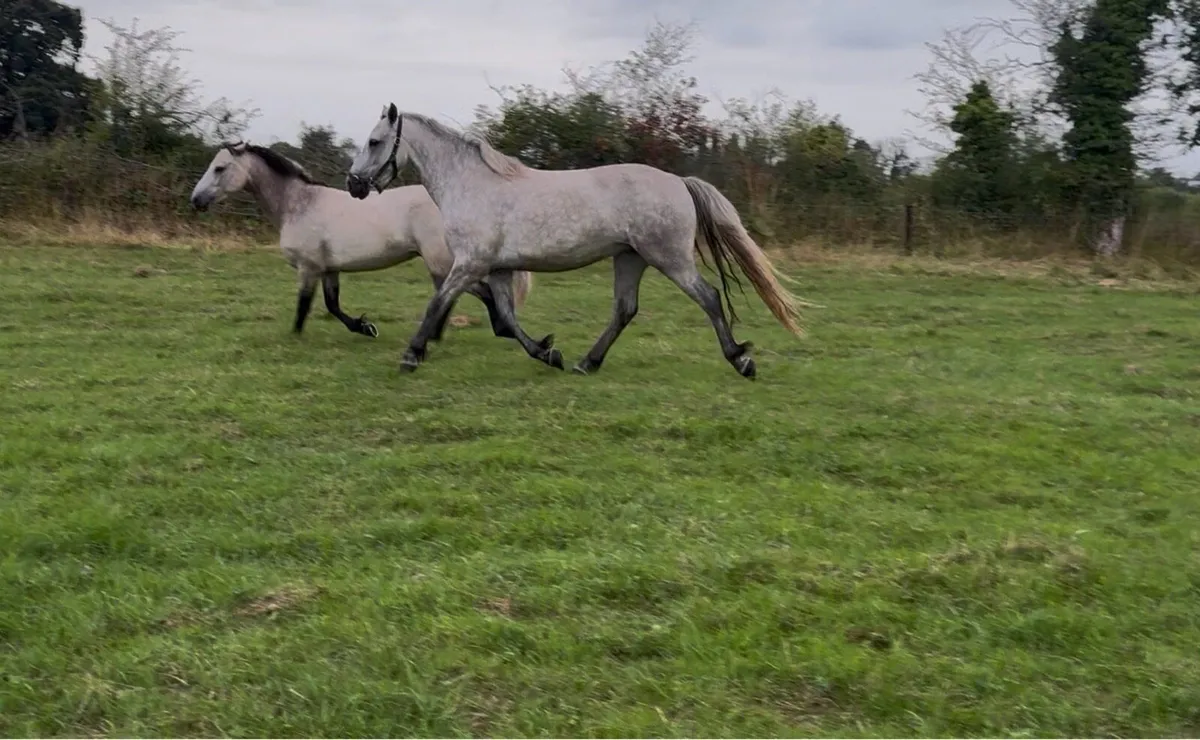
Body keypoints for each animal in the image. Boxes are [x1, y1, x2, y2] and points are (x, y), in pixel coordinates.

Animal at [188, 141, 533, 341]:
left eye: (220, 168)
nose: (196, 200)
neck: (298, 204)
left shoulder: (308, 268)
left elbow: (304, 305)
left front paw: (295, 337)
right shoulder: (329, 269)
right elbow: (332, 305)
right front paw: (366, 327)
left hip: (440, 261)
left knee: (472, 292)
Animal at [345, 103, 807, 380]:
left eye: (374, 141)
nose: (353, 185)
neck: (472, 184)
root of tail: (679, 181)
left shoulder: (470, 264)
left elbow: (437, 304)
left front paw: (411, 354)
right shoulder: (496, 268)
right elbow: (506, 319)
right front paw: (548, 352)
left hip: (668, 257)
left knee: (708, 297)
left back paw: (741, 359)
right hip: (630, 258)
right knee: (625, 310)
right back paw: (588, 362)